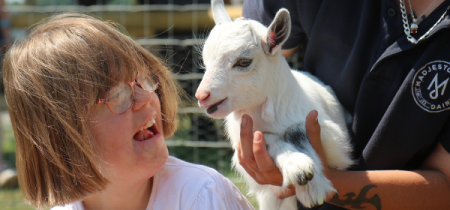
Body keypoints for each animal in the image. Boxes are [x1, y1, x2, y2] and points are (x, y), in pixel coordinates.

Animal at [195, 0, 354, 209]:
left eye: (243, 62)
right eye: (206, 62)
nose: (202, 96)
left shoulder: (336, 139)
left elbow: (296, 130)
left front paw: (313, 187)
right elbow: (267, 139)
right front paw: (298, 169)